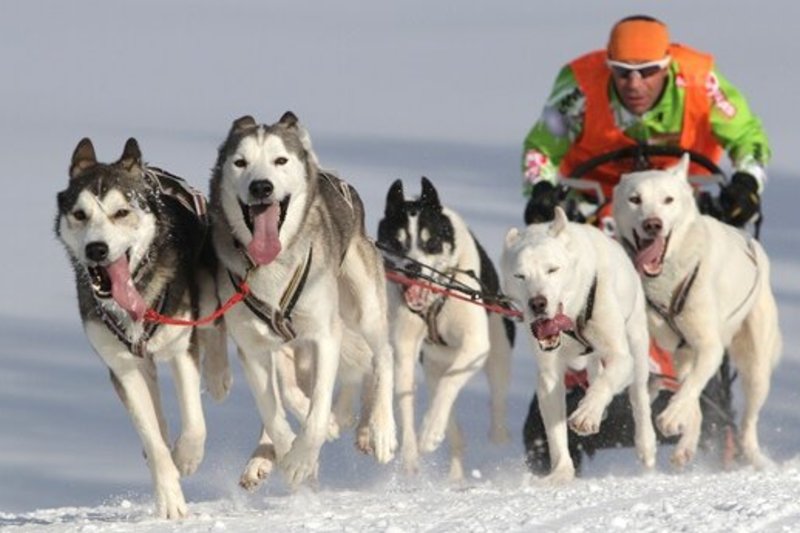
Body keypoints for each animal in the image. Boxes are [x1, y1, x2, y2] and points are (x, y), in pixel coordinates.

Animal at [500, 208, 656, 482]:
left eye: (552, 270)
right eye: (520, 276)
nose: (537, 303)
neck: (572, 319)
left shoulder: (619, 355)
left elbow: (607, 381)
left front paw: (586, 414)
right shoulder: (549, 375)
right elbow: (555, 431)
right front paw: (561, 471)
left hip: (637, 345)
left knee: (638, 397)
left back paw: (645, 443)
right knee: (595, 373)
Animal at [612, 154, 780, 466]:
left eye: (668, 199)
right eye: (635, 199)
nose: (653, 224)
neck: (666, 280)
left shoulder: (710, 346)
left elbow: (691, 388)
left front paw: (670, 417)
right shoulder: (649, 344)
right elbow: (647, 394)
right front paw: (651, 439)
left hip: (755, 366)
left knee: (747, 418)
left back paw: (752, 454)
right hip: (683, 355)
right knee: (695, 404)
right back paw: (686, 444)